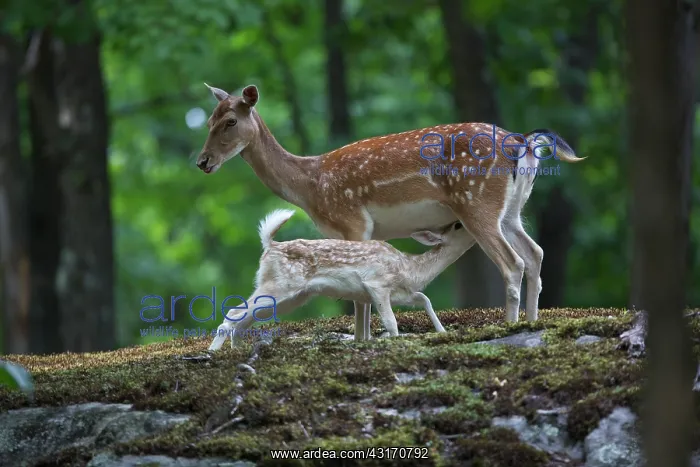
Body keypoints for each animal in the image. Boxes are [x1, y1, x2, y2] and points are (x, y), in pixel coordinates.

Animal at [208, 209, 471, 351]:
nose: (472, 223)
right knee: (233, 312)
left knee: (245, 318)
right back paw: (213, 353)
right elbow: (391, 322)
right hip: (281, 285)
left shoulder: (402, 292)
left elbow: (425, 299)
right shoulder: (377, 284)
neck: (409, 268)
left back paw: (236, 351)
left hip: (291, 296)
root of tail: (269, 245)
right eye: (458, 225)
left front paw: (441, 330)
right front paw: (396, 342)